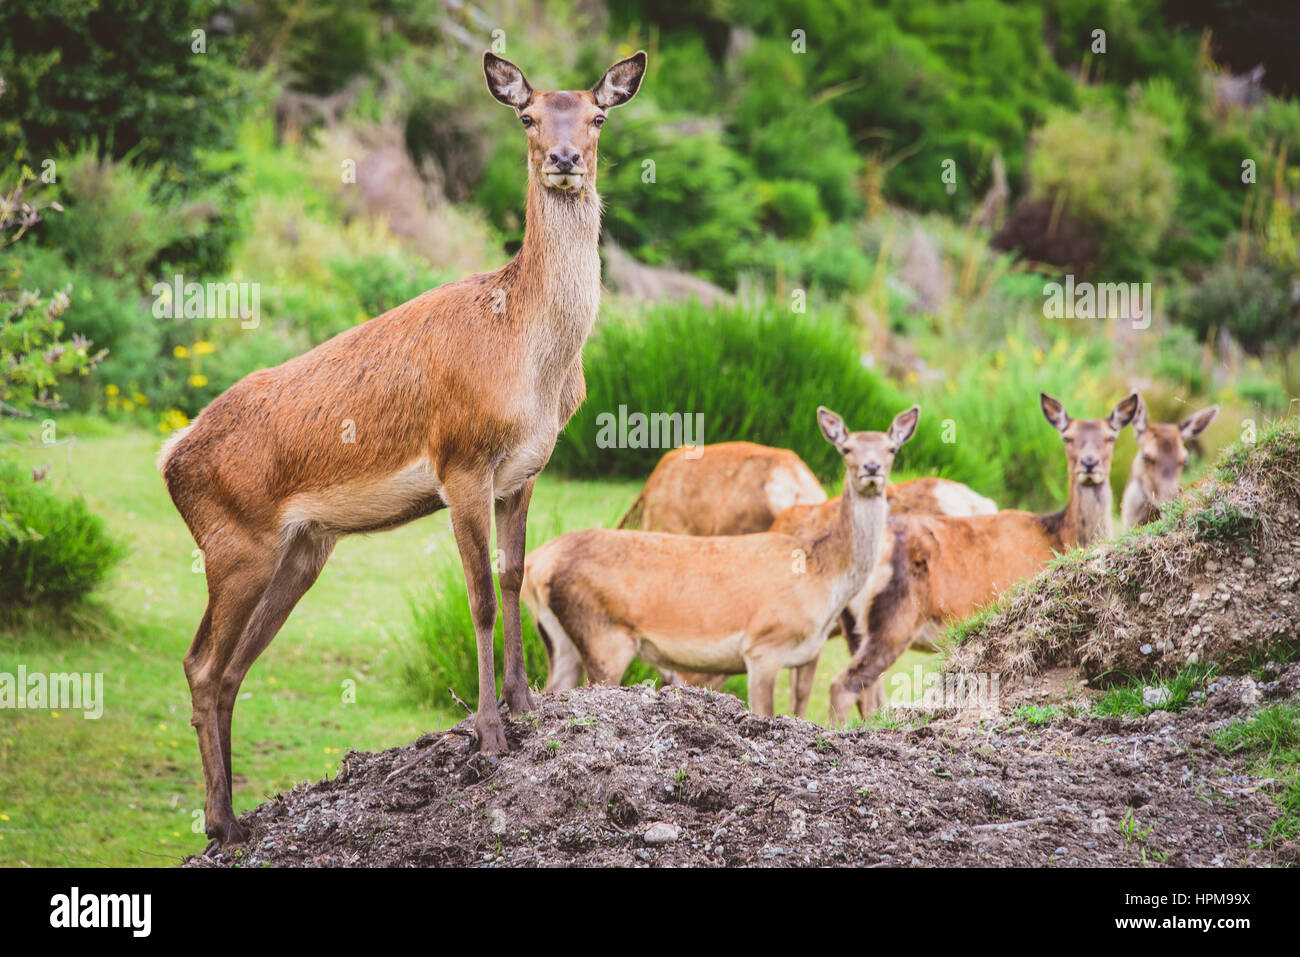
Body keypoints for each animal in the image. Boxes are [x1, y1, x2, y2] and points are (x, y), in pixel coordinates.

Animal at [157, 50, 647, 846]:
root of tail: (170, 456)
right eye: (528, 116)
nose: (565, 159)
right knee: (201, 663)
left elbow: (515, 576)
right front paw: (488, 734)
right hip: (233, 541)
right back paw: (221, 823)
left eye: (597, 116)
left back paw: (232, 818)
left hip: (301, 548)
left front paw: (526, 704)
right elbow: (479, 596)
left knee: (231, 667)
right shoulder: (461, 463)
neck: (536, 366)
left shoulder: (524, 472)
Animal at [521, 407, 919, 715]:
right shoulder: (763, 647)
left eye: (892, 448)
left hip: (559, 638)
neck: (823, 578)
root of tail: (536, 564)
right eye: (847, 448)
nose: (871, 468)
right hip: (605, 637)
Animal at [823, 393, 1140, 726]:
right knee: (843, 685)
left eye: (1111, 436)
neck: (1059, 537)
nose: (1090, 464)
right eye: (1067, 437)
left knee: (868, 692)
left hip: (853, 625)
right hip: (895, 616)